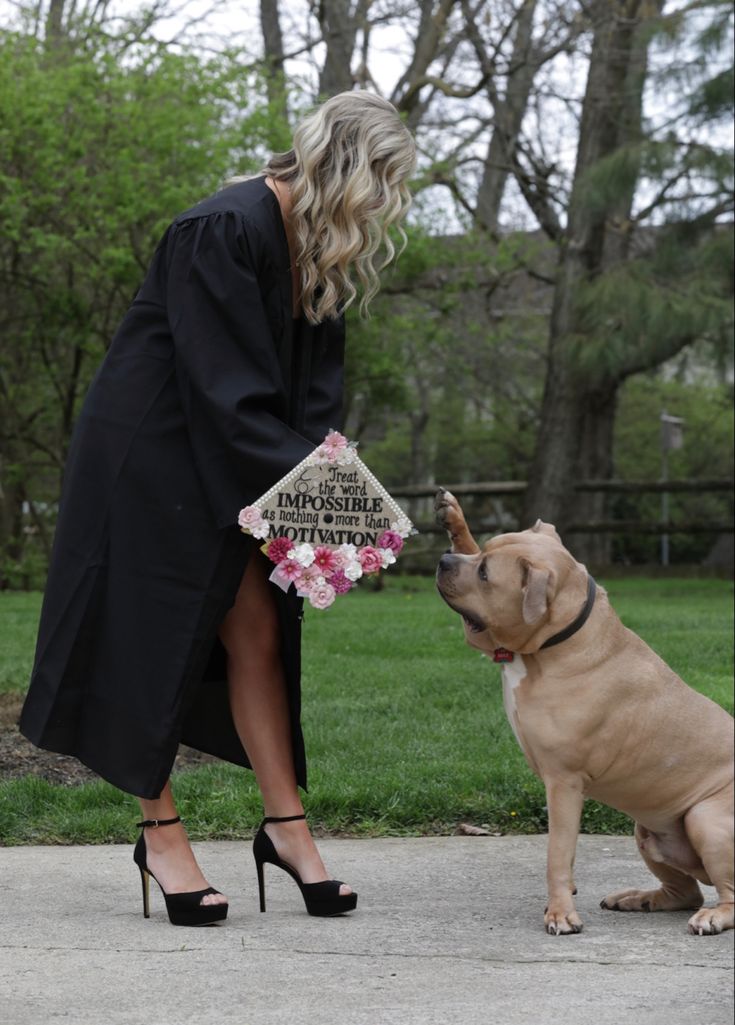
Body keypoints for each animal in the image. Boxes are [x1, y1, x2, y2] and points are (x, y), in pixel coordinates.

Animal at [432, 487, 729, 938]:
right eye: (481, 553)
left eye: (484, 573)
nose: (443, 561)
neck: (562, 636)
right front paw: (455, 520)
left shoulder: (564, 782)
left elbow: (557, 853)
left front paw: (560, 913)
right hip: (648, 831)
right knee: (685, 892)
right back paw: (639, 898)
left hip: (706, 817)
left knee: (726, 895)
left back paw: (713, 916)